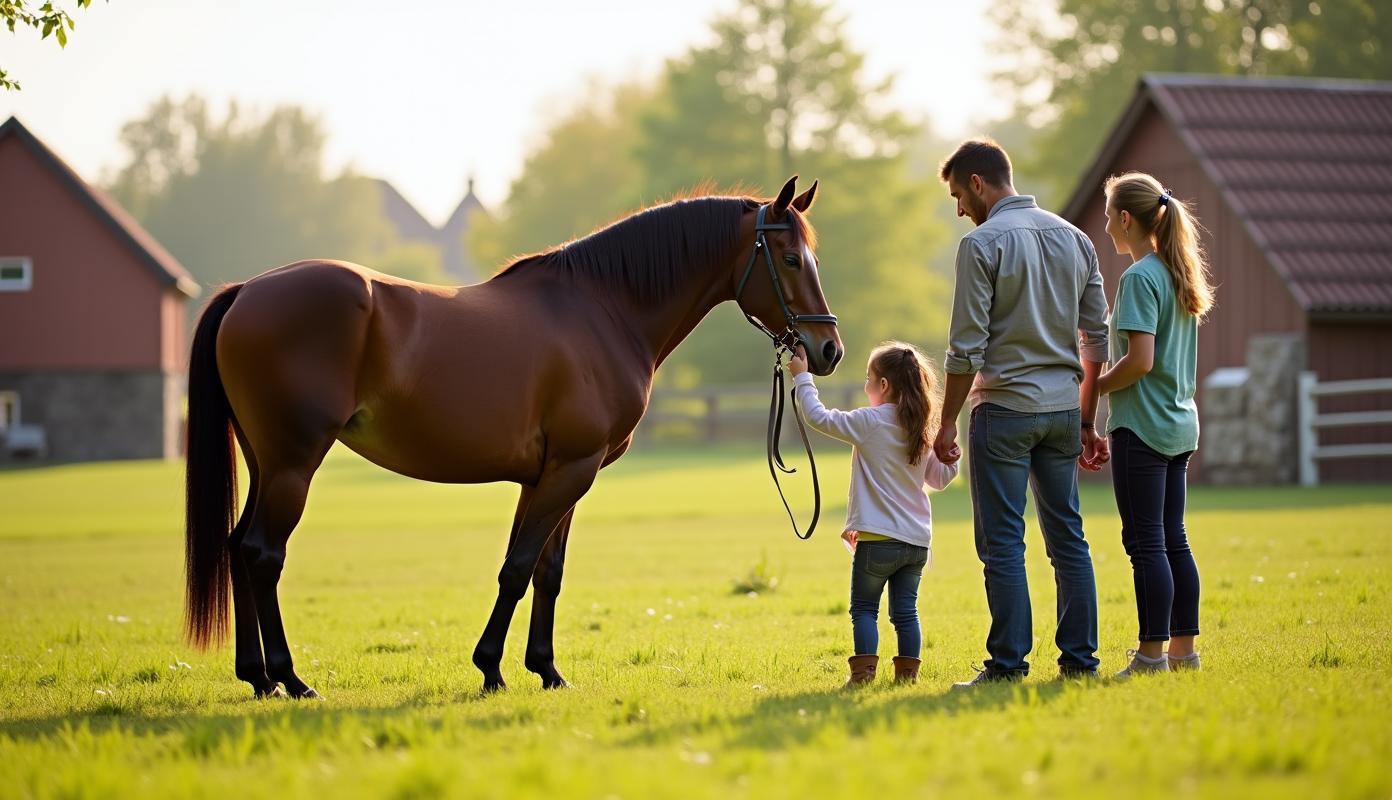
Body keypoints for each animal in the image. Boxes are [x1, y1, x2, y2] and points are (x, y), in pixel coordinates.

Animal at [182, 175, 835, 695]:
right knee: (263, 552)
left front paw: (545, 669)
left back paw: (258, 677)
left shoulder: (551, 476)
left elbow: (546, 571)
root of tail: (246, 291)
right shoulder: (572, 469)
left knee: (238, 546)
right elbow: (518, 568)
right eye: (790, 259)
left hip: (266, 462)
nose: (828, 349)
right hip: (294, 464)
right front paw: (492, 668)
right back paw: (290, 678)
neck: (604, 309)